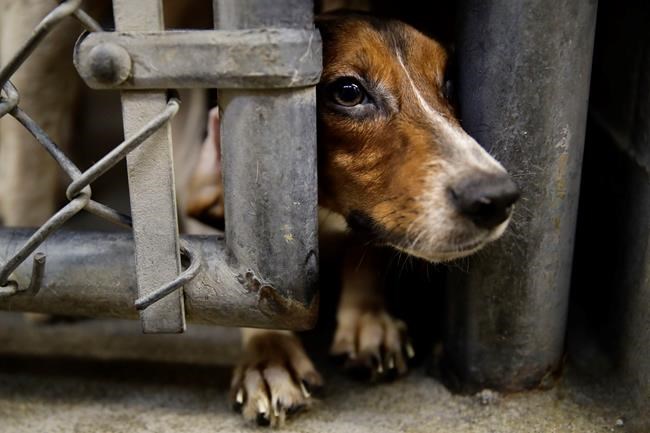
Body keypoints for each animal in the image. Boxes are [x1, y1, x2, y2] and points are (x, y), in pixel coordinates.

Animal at [0, 3, 518, 428]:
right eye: (348, 91)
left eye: (449, 82)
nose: (497, 197)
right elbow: (250, 286)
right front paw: (270, 358)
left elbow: (363, 249)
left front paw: (369, 320)